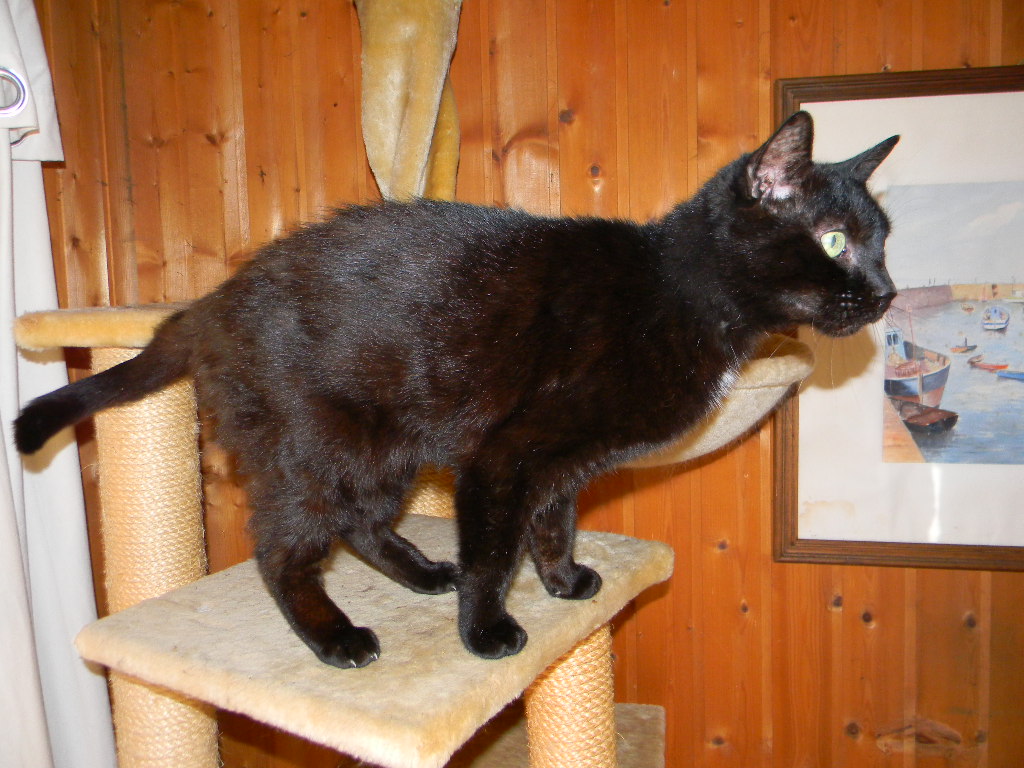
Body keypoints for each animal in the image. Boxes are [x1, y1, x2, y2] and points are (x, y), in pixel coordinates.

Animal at [15, 111, 898, 668]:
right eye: (834, 242)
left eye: (883, 242)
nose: (888, 292)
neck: (680, 290)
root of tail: (210, 305)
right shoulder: (502, 456)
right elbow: (495, 551)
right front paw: (487, 630)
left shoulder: (563, 461)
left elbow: (554, 525)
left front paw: (564, 584)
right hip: (318, 447)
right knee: (284, 549)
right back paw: (336, 637)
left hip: (385, 451)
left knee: (361, 523)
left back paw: (419, 574)